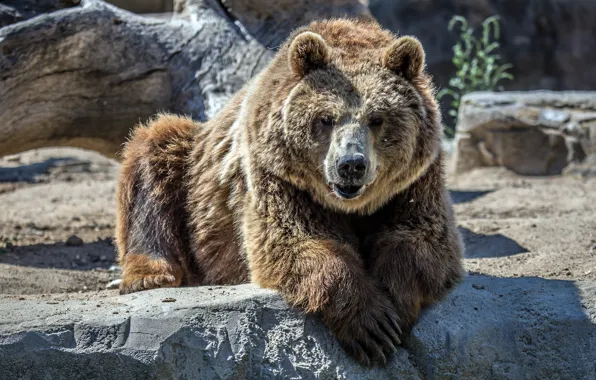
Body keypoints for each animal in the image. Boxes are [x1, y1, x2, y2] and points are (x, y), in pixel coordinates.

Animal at [114, 17, 464, 366]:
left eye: (377, 118)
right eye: (326, 118)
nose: (351, 164)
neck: (351, 205)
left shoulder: (416, 182)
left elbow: (421, 238)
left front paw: (393, 304)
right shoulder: (277, 177)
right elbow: (293, 242)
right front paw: (371, 325)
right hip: (192, 169)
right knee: (156, 149)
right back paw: (150, 274)